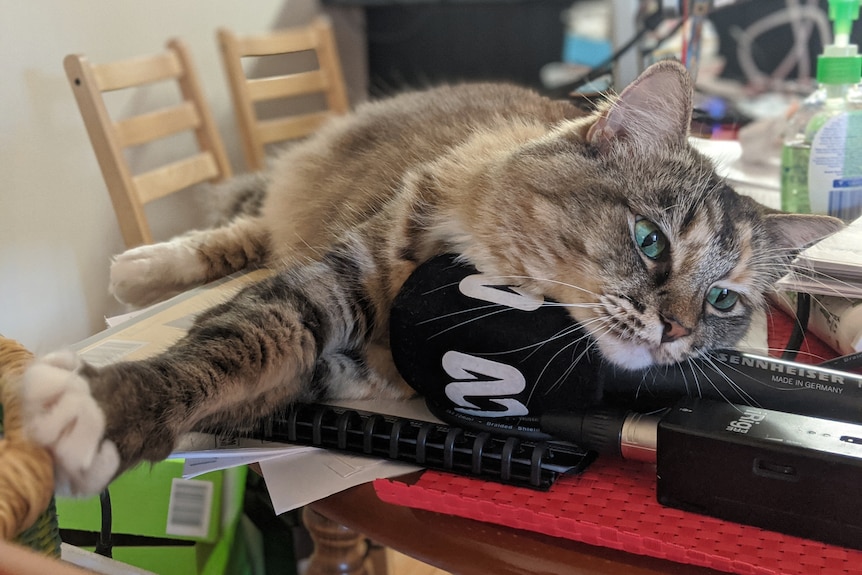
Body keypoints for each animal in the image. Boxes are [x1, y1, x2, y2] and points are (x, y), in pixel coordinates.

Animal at [18, 62, 844, 496]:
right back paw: (144, 266)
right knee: (245, 224)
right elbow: (222, 350)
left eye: (722, 299)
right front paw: (95, 407)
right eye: (649, 242)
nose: (676, 331)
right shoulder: (333, 279)